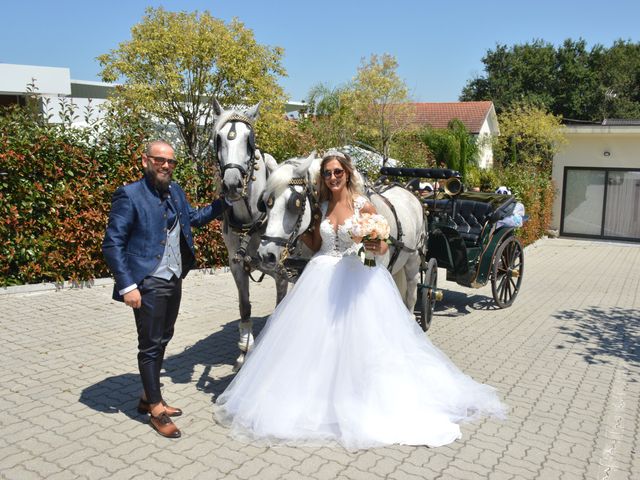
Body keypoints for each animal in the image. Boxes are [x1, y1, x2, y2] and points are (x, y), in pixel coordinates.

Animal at [211, 96, 288, 368]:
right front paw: (245, 351)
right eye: (219, 138)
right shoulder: (236, 265)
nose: (232, 184)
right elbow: (244, 306)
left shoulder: (281, 271)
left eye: (249, 139)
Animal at [255, 154, 424, 312]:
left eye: (295, 203)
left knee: (411, 295)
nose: (266, 255)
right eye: (266, 203)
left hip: (413, 260)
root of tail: (406, 190)